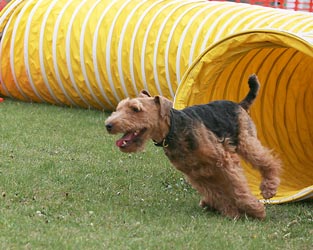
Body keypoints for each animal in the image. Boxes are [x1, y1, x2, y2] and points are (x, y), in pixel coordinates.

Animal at [105, 74, 280, 219]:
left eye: (135, 109)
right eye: (119, 108)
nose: (108, 125)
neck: (173, 130)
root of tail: (238, 104)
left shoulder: (224, 161)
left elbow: (238, 187)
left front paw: (255, 210)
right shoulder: (196, 174)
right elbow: (218, 194)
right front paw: (232, 212)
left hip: (246, 142)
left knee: (269, 161)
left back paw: (268, 189)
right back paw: (208, 203)